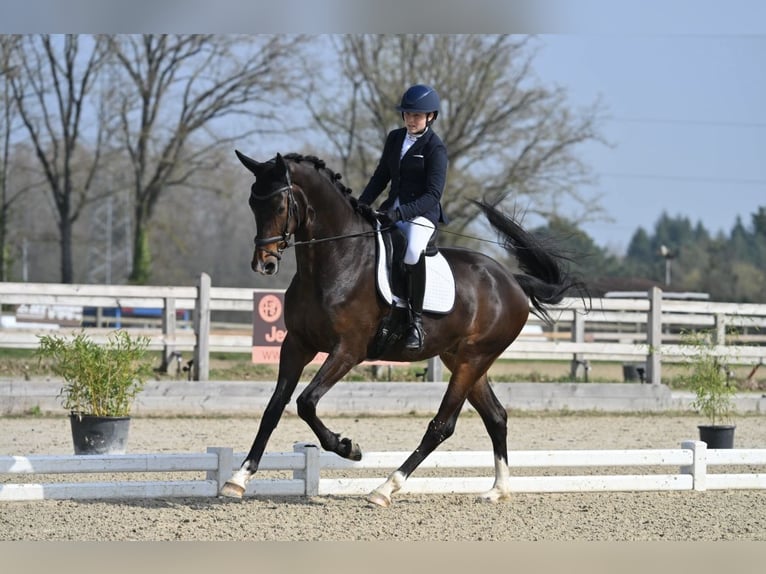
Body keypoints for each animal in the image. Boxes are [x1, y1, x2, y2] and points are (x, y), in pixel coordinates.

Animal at [221, 151, 586, 507]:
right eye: (253, 203)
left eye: (280, 205)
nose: (264, 264)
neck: (335, 261)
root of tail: (512, 281)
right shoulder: (297, 344)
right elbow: (275, 407)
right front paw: (238, 478)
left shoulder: (348, 351)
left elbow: (306, 402)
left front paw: (347, 447)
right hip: (462, 358)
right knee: (496, 416)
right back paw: (498, 489)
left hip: (474, 358)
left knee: (442, 425)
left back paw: (385, 488)